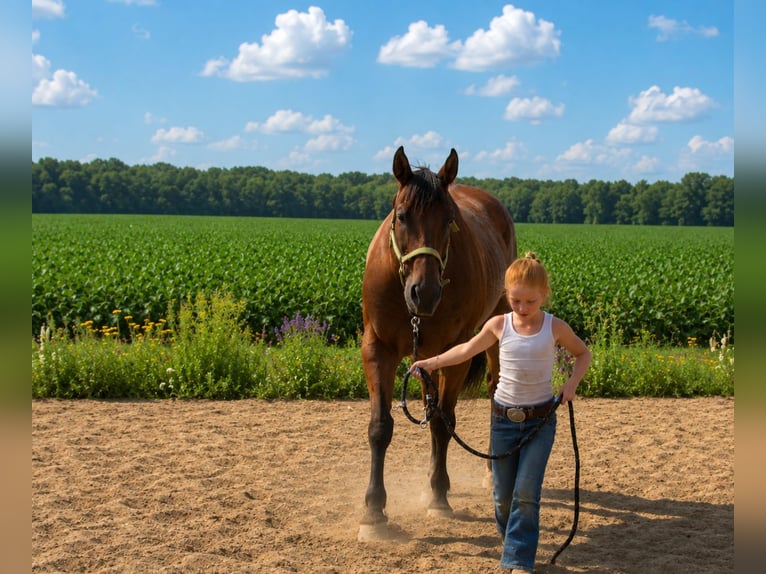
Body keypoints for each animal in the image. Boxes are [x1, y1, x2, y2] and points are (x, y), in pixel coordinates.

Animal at [359, 146, 517, 540]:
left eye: (448, 220)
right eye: (401, 216)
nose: (425, 292)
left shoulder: (456, 353)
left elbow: (443, 424)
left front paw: (439, 498)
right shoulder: (377, 349)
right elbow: (380, 427)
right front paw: (374, 511)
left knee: (493, 390)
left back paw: (485, 474)